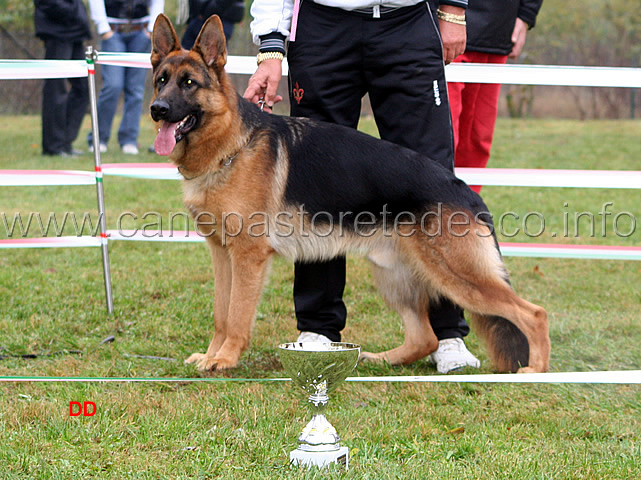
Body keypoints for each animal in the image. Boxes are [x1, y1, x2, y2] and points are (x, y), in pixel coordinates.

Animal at [150, 14, 552, 376]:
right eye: (161, 81)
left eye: (189, 83)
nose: (157, 110)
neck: (231, 146)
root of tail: (466, 191)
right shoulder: (222, 254)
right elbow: (221, 313)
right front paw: (211, 356)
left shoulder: (248, 257)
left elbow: (236, 316)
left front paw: (225, 359)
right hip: (394, 275)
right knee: (424, 338)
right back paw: (379, 360)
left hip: (458, 276)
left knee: (534, 313)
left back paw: (536, 371)